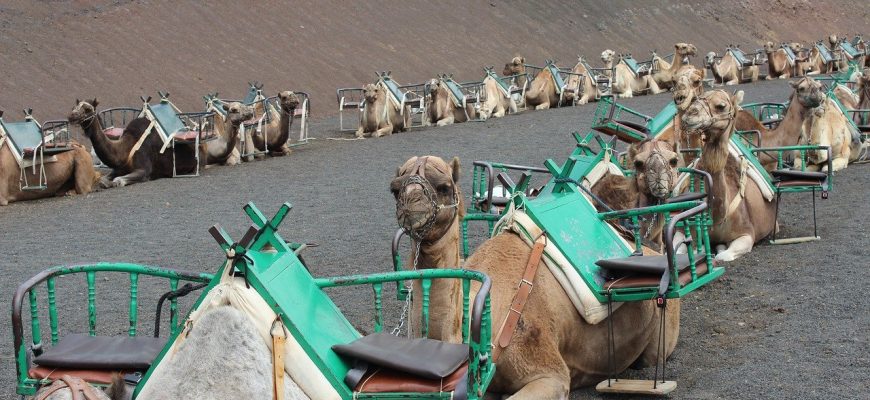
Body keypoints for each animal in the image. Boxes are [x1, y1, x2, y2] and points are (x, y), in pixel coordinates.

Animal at [68, 99, 201, 188]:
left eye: (87, 109)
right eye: (74, 106)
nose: (72, 116)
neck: (127, 146)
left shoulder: (144, 170)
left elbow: (119, 181)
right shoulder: (119, 168)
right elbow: (103, 180)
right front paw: (107, 183)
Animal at [680, 89, 776, 260]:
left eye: (721, 106)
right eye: (695, 99)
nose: (690, 115)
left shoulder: (746, 233)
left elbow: (722, 256)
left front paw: (718, 250)